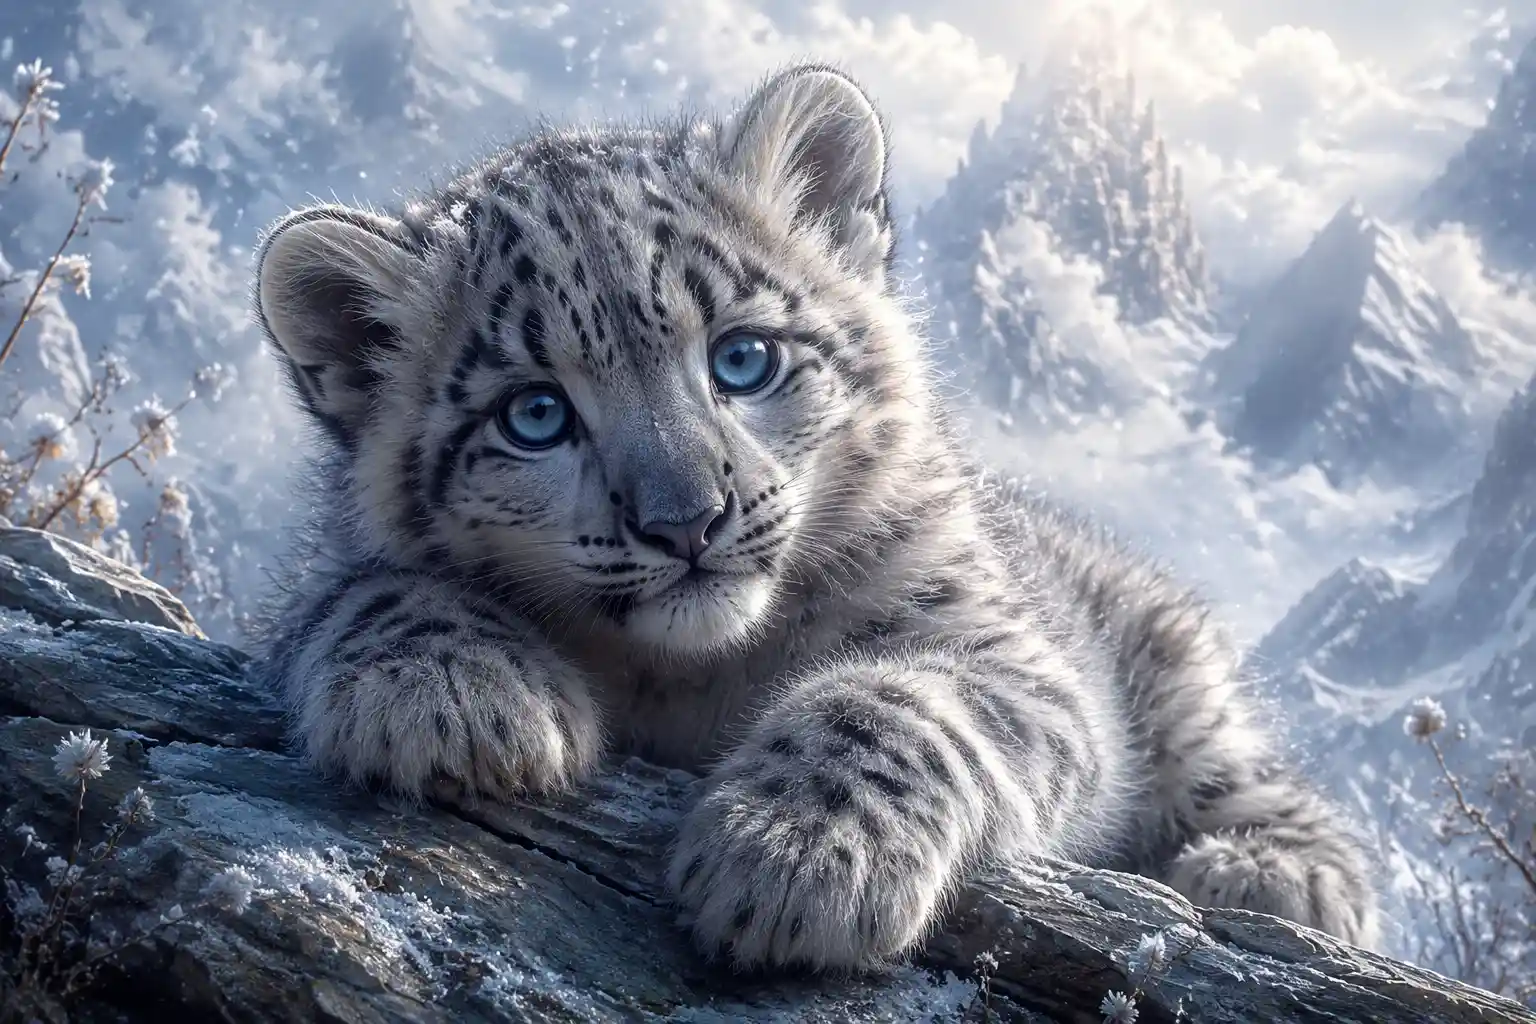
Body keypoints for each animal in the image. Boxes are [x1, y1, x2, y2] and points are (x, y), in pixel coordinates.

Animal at [249, 62, 1380, 972]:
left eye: (744, 357)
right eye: (535, 414)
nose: (687, 520)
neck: (690, 681)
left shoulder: (1009, 654)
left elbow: (901, 699)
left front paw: (797, 855)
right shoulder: (319, 578)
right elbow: (357, 587)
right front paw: (452, 693)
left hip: (1176, 671)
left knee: (1250, 776)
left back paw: (1273, 874)